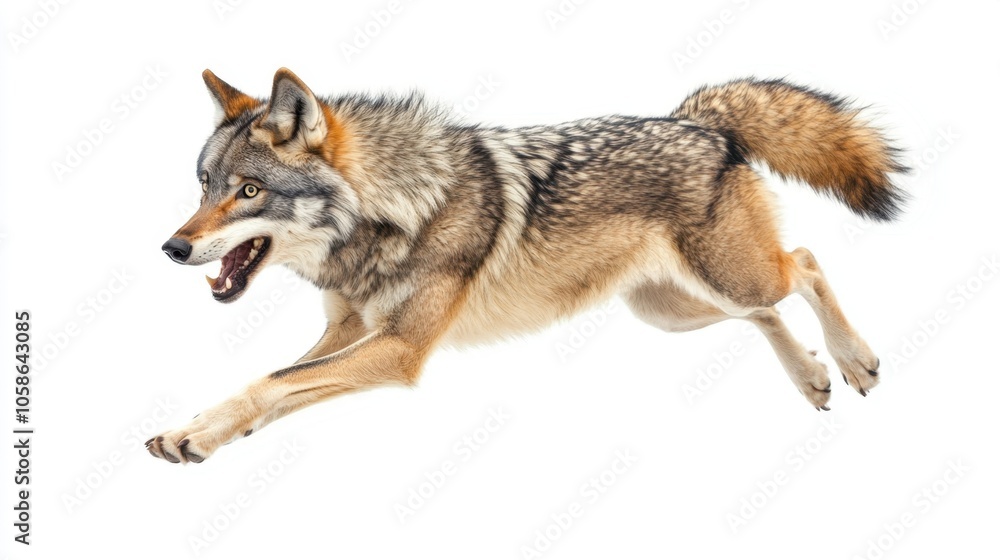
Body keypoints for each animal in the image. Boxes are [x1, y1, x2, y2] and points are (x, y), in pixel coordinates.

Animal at [148, 68, 905, 464]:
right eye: (204, 186)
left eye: (250, 191)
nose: (173, 249)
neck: (398, 209)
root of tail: (699, 121)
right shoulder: (349, 333)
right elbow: (276, 381)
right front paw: (197, 432)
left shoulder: (400, 347)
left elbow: (270, 380)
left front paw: (199, 433)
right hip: (669, 311)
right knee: (766, 312)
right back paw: (813, 377)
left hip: (729, 278)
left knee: (804, 264)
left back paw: (854, 360)